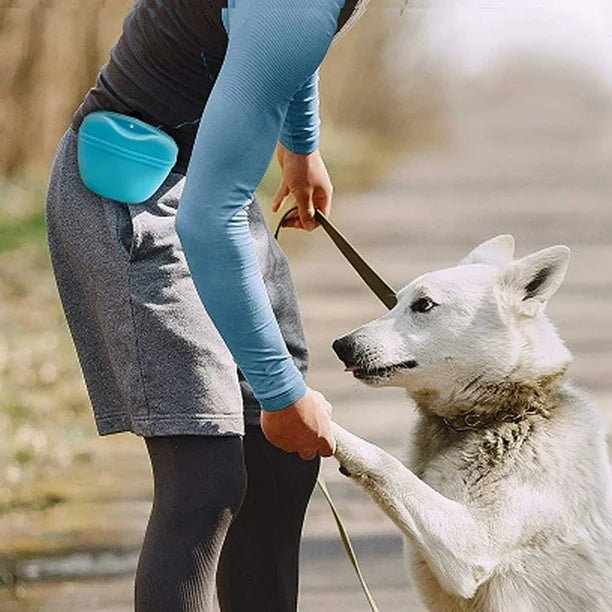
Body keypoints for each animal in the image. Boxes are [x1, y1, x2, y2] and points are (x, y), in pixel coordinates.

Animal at [330, 235, 612, 612]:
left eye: (423, 305)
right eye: (395, 302)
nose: (340, 346)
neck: (498, 417)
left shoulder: (471, 546)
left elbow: (385, 462)